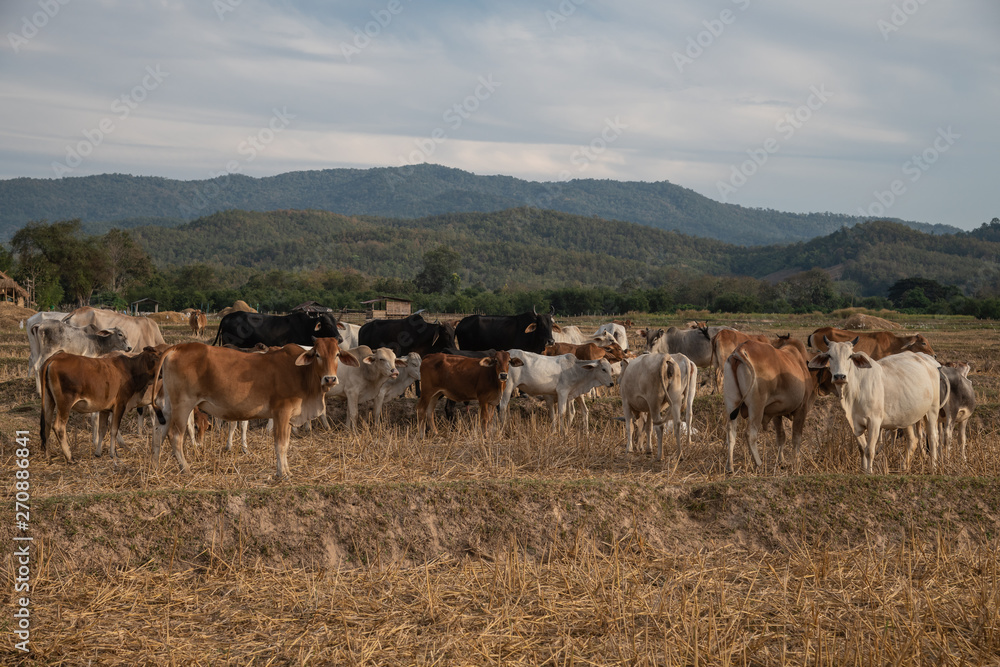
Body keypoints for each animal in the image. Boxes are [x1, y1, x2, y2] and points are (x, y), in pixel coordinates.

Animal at [152, 338, 359, 480]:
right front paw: (282, 473)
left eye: (337, 354)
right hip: (183, 405)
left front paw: (287, 470)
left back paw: (155, 466)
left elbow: (286, 444)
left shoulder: (289, 417)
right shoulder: (281, 412)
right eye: (317, 354)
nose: (330, 379)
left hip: (169, 407)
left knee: (160, 433)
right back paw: (185, 469)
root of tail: (177, 347)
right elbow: (280, 444)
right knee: (175, 436)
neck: (301, 372)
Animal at [722, 337, 825, 474]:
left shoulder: (777, 413)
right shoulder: (801, 409)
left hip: (732, 404)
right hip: (757, 406)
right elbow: (796, 438)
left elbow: (781, 436)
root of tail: (740, 349)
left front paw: (782, 461)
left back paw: (730, 466)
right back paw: (758, 463)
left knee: (730, 433)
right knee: (750, 433)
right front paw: (796, 463)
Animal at [808, 337, 945, 474]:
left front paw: (869, 472)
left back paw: (933, 467)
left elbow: (869, 450)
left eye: (850, 356)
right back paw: (904, 467)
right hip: (908, 417)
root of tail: (930, 360)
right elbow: (862, 448)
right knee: (913, 440)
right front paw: (863, 471)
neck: (854, 391)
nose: (839, 376)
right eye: (830, 355)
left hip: (932, 411)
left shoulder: (874, 422)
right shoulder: (854, 424)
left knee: (933, 438)